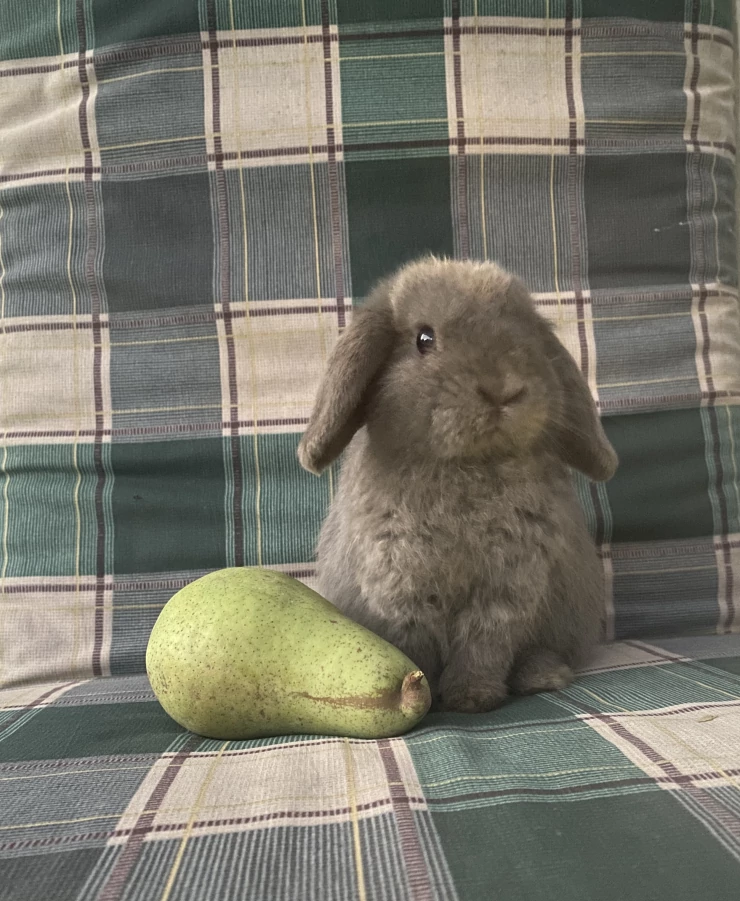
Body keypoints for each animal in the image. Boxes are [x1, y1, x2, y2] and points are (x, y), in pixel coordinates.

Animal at [297, 256, 618, 713]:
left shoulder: (507, 590)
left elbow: (483, 646)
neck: (466, 465)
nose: (503, 389)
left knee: (540, 651)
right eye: (423, 339)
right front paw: (422, 695)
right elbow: (415, 648)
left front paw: (472, 697)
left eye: (530, 338)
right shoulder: (401, 586)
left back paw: (543, 677)